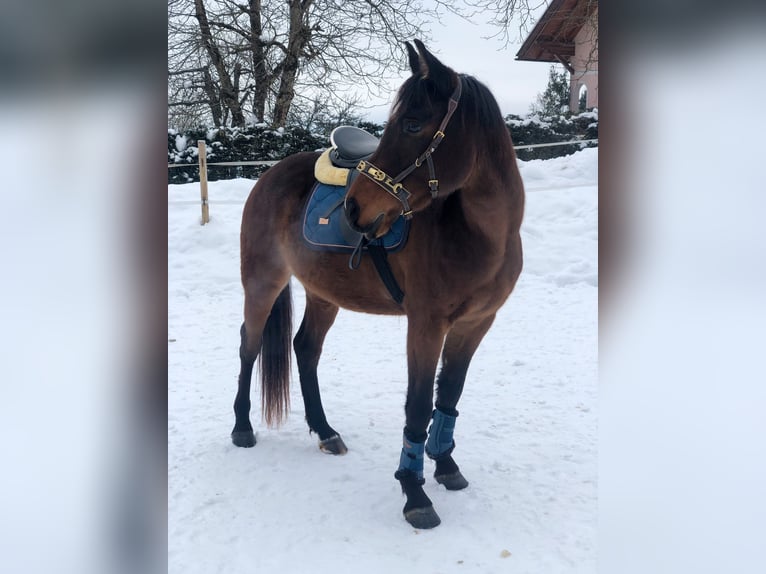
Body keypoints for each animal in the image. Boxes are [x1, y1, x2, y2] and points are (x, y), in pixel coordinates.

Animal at [232, 40, 520, 532]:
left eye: (413, 123)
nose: (353, 208)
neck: (480, 235)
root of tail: (269, 174)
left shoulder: (475, 324)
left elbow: (449, 395)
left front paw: (446, 466)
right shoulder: (426, 325)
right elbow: (418, 405)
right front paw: (414, 493)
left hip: (324, 294)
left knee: (305, 349)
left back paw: (326, 432)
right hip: (262, 282)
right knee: (249, 345)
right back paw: (242, 428)